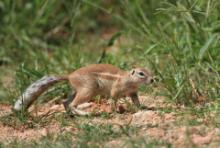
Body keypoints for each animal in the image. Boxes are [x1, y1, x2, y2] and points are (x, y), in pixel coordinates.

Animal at [12, 63, 154, 115]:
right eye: (141, 73)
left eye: (149, 70)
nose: (153, 79)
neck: (130, 80)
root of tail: (69, 76)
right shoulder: (116, 89)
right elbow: (113, 99)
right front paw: (116, 111)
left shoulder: (133, 92)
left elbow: (136, 101)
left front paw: (144, 108)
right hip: (88, 90)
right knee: (72, 104)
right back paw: (84, 114)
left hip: (78, 91)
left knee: (66, 102)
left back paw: (71, 115)